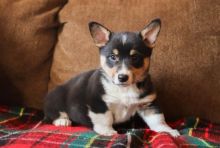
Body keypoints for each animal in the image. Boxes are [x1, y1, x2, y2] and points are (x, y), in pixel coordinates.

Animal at [43, 18, 180, 136]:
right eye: (113, 57)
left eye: (135, 57)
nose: (122, 77)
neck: (124, 89)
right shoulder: (98, 103)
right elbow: (105, 118)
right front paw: (108, 131)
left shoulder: (148, 104)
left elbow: (158, 119)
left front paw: (168, 130)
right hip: (56, 98)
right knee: (52, 114)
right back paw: (62, 120)